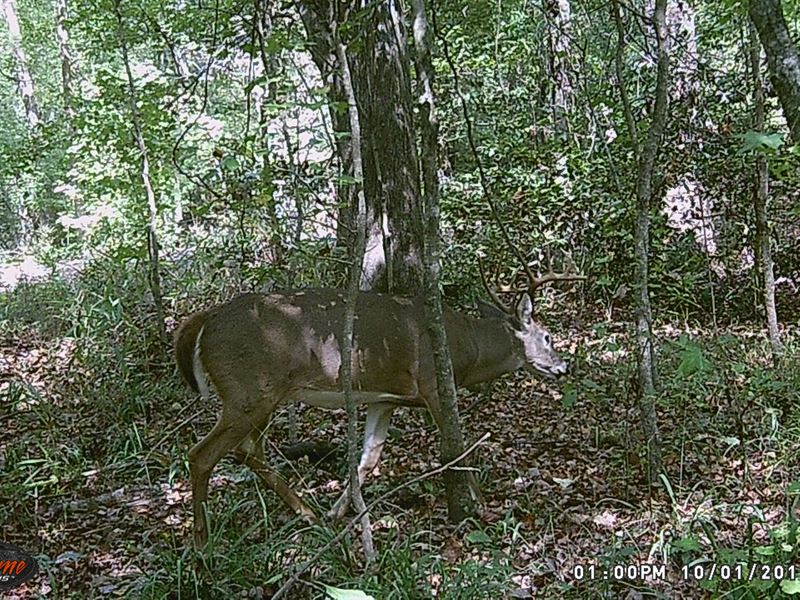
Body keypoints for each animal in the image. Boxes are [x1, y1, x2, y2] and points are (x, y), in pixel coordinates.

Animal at [175, 266, 580, 544]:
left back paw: (311, 516)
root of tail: (206, 320)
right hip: (250, 390)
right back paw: (201, 545)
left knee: (248, 452)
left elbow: (368, 459)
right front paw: (480, 507)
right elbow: (455, 447)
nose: (564, 366)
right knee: (203, 454)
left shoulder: (383, 399)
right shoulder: (433, 383)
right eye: (548, 336)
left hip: (262, 396)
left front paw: (341, 512)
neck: (469, 347)